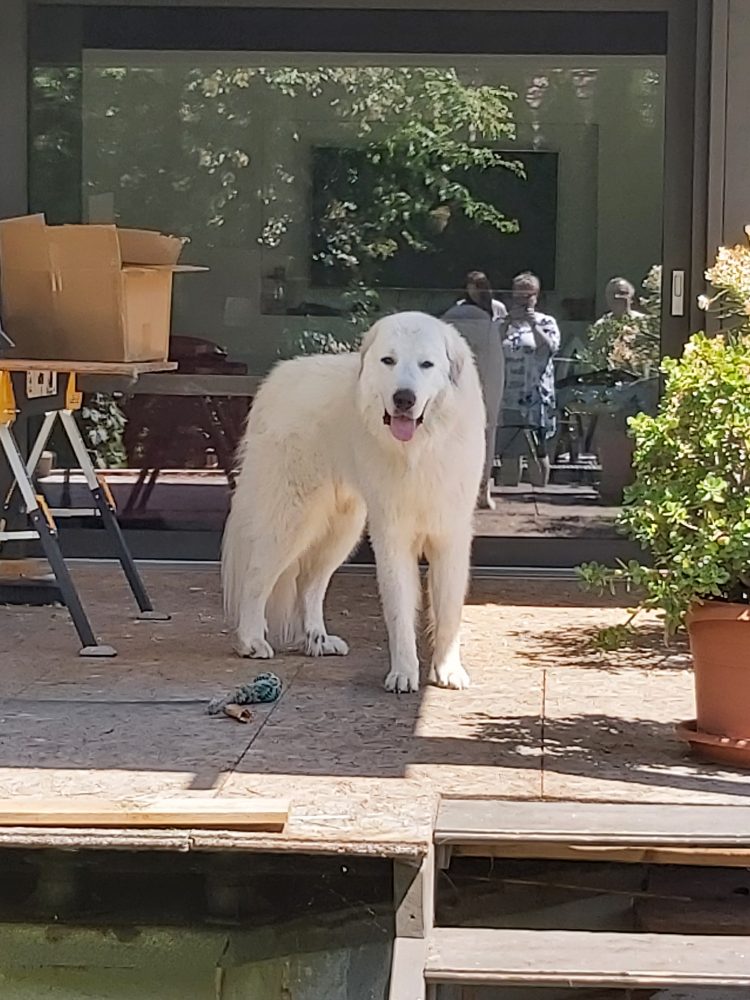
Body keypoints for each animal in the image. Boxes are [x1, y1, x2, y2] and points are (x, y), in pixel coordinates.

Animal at [222, 311, 485, 692]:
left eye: (427, 364)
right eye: (388, 361)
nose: (403, 398)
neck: (418, 450)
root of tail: (277, 378)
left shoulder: (450, 535)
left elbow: (449, 610)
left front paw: (448, 670)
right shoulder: (392, 536)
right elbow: (399, 610)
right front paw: (403, 673)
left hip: (344, 528)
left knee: (309, 584)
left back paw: (317, 639)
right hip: (292, 520)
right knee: (256, 578)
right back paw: (251, 641)